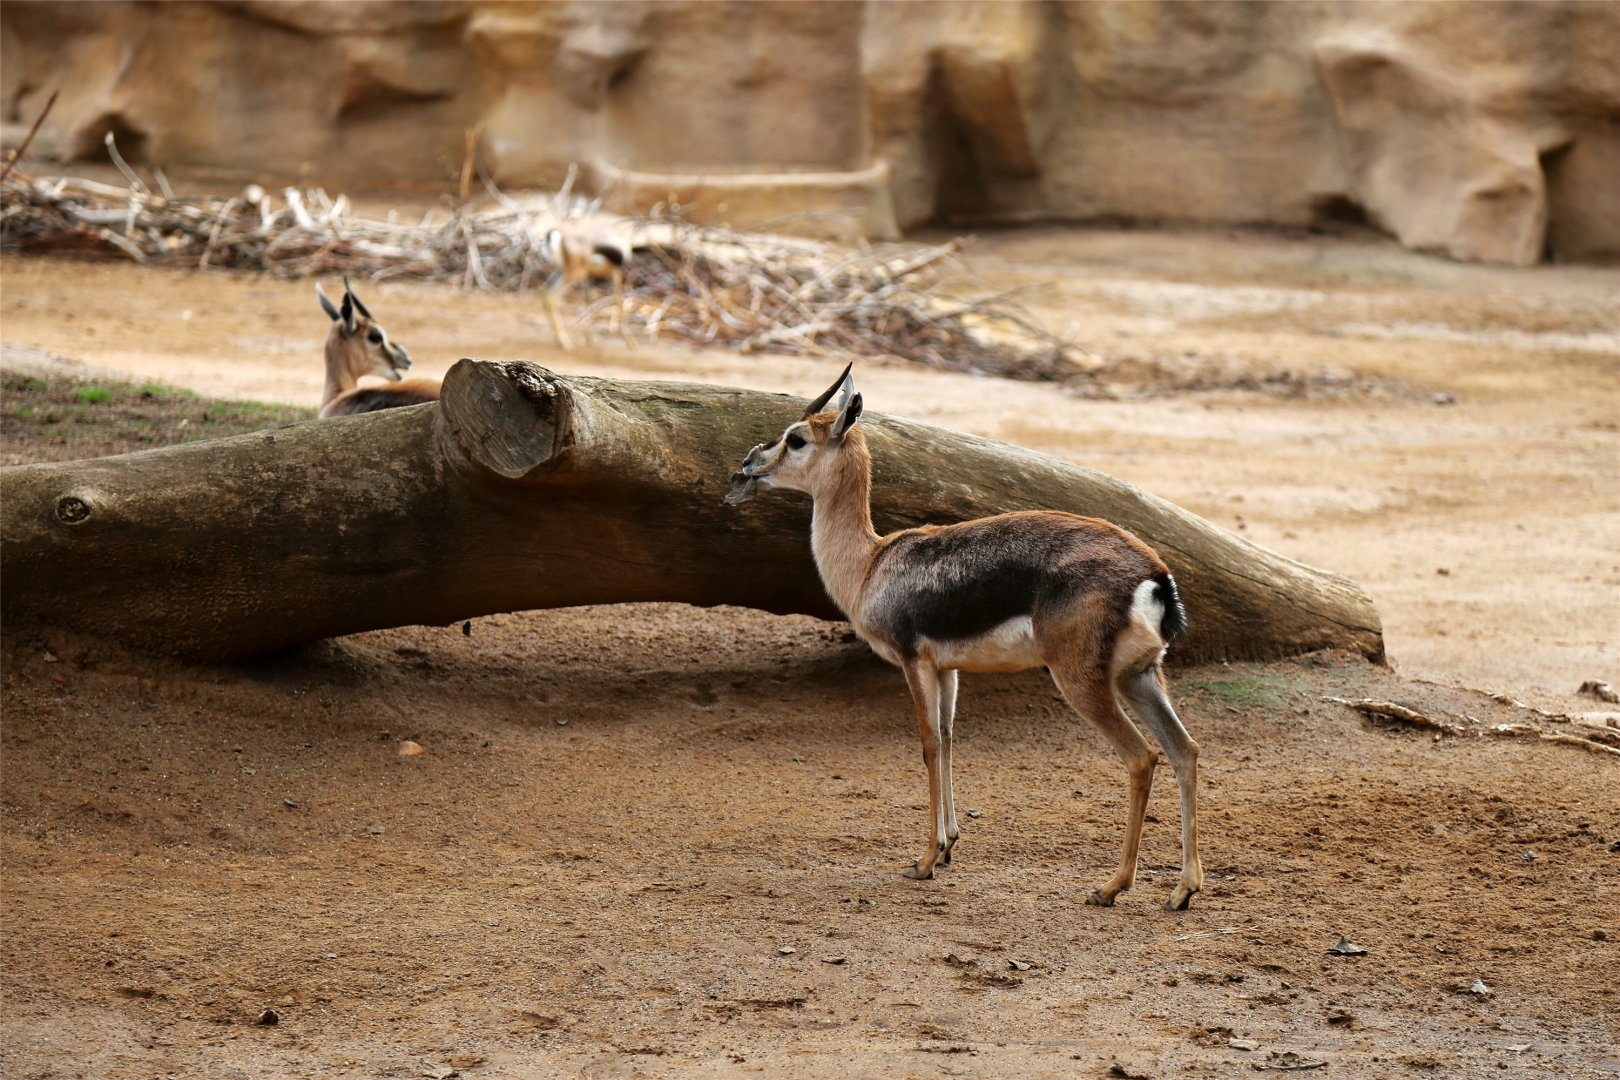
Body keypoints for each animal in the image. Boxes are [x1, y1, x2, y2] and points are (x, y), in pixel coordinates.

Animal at [725, 364, 1203, 909]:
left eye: (797, 438)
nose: (747, 466)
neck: (871, 564)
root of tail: (1154, 574)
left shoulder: (913, 661)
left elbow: (929, 744)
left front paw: (925, 860)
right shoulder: (948, 669)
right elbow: (951, 739)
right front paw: (950, 844)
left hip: (1082, 681)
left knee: (1142, 757)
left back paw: (1112, 886)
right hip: (1139, 677)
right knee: (1184, 750)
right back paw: (1182, 890)